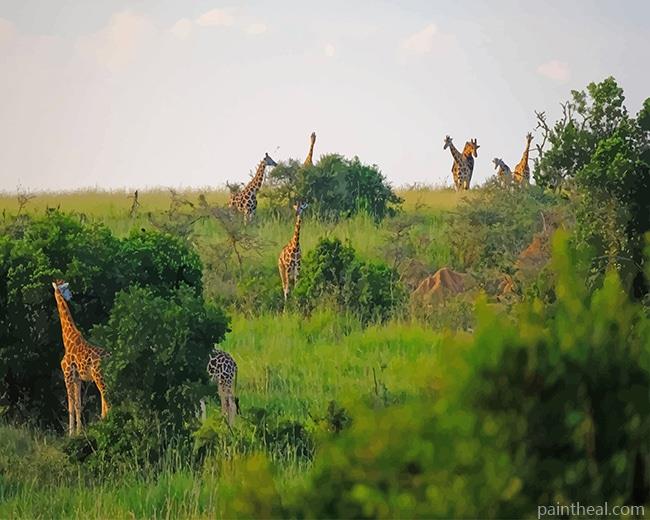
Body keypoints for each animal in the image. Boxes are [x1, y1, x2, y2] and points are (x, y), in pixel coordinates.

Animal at [52, 280, 110, 436]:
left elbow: (71, 405)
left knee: (106, 396)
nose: (71, 296)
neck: (67, 340)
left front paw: (71, 433)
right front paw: (78, 432)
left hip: (99, 376)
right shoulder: (77, 378)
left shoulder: (67, 375)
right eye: (65, 288)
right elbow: (77, 404)